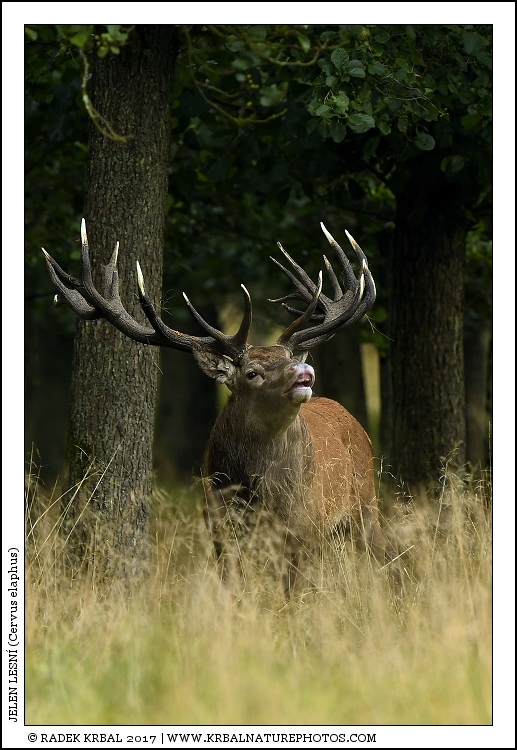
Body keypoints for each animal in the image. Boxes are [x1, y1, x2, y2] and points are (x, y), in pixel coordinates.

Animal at [43, 220, 397, 595]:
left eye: (289, 358)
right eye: (251, 372)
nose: (303, 370)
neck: (255, 492)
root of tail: (354, 421)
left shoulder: (300, 528)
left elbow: (292, 593)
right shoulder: (218, 525)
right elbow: (233, 586)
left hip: (365, 502)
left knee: (387, 554)